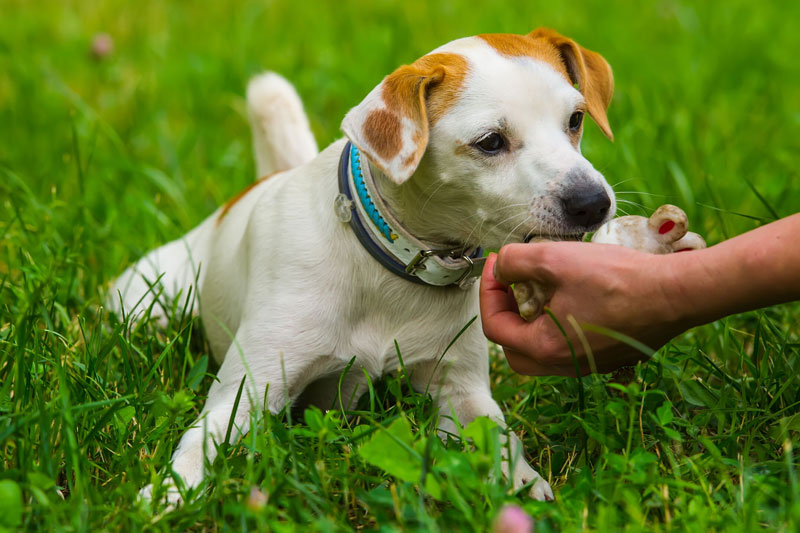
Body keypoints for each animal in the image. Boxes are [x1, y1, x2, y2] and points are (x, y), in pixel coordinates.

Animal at [109, 28, 616, 502]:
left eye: (576, 119)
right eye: (490, 142)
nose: (593, 202)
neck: (390, 265)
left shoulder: (460, 389)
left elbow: (497, 435)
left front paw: (523, 483)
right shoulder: (245, 393)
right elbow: (199, 445)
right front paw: (169, 494)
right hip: (143, 305)